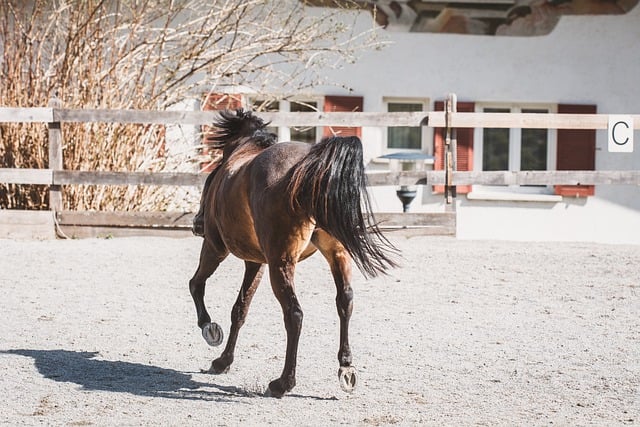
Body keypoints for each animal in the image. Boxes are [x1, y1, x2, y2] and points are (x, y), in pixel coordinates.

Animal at [189, 108, 396, 398]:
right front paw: (223, 361)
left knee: (294, 314)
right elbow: (239, 310)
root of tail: (309, 169)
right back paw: (346, 368)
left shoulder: (216, 247)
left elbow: (196, 285)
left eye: (210, 177)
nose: (196, 224)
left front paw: (209, 329)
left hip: (280, 262)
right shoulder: (256, 262)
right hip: (336, 253)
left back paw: (283, 382)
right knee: (345, 300)